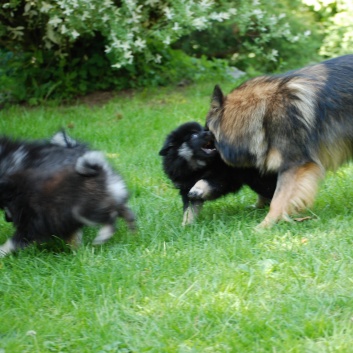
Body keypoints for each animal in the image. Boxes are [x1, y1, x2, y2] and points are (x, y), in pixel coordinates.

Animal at [0, 130, 135, 256]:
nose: (6, 219)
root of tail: (103, 172)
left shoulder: (31, 224)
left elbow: (14, 241)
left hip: (85, 210)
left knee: (110, 217)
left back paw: (103, 235)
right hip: (111, 199)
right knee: (124, 211)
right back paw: (131, 229)